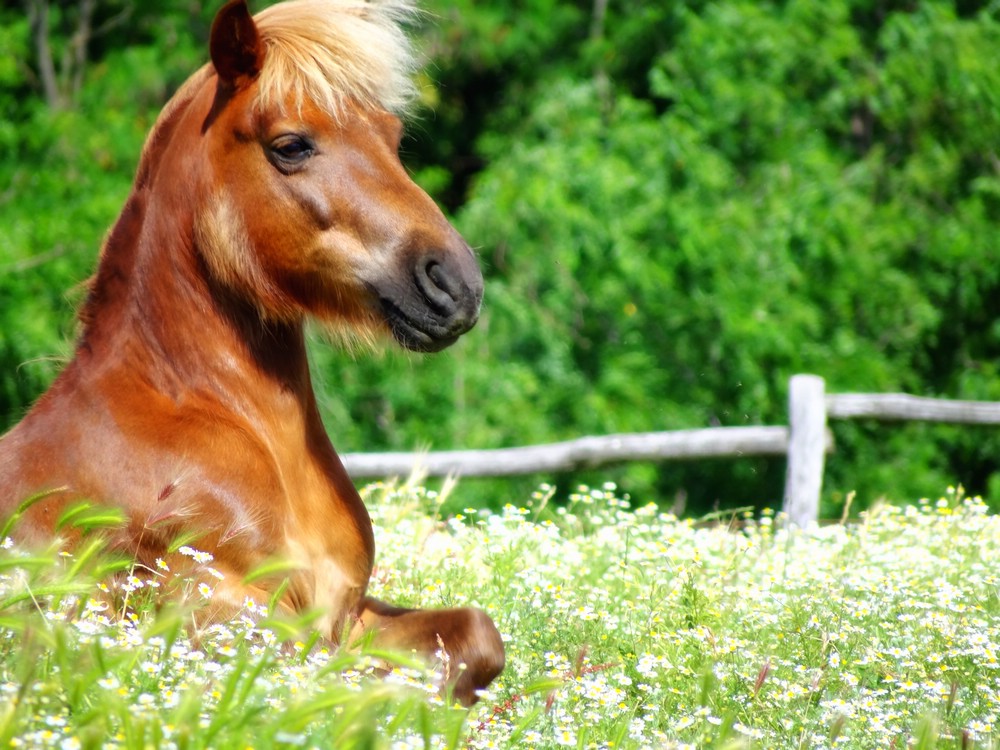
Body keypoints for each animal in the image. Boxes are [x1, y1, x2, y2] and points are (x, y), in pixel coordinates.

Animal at [0, 0, 500, 704]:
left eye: (393, 135)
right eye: (290, 145)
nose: (454, 284)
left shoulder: (348, 611)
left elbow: (477, 636)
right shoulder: (226, 611)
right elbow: (334, 680)